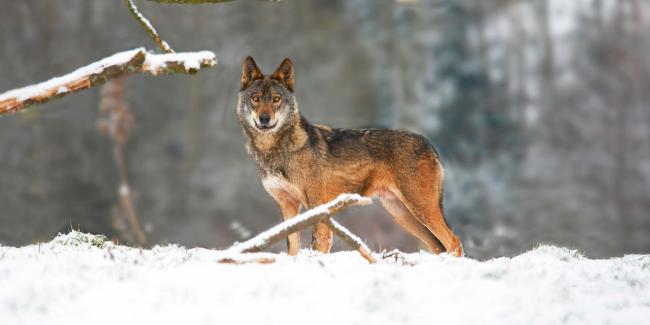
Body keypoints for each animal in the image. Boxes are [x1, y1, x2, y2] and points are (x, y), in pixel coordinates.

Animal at [235, 56, 464, 256]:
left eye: (276, 99)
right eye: (255, 98)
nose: (265, 119)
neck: (275, 151)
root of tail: (429, 144)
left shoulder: (318, 208)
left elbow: (318, 246)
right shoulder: (287, 206)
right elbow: (292, 247)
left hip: (420, 209)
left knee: (453, 240)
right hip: (402, 214)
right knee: (437, 245)